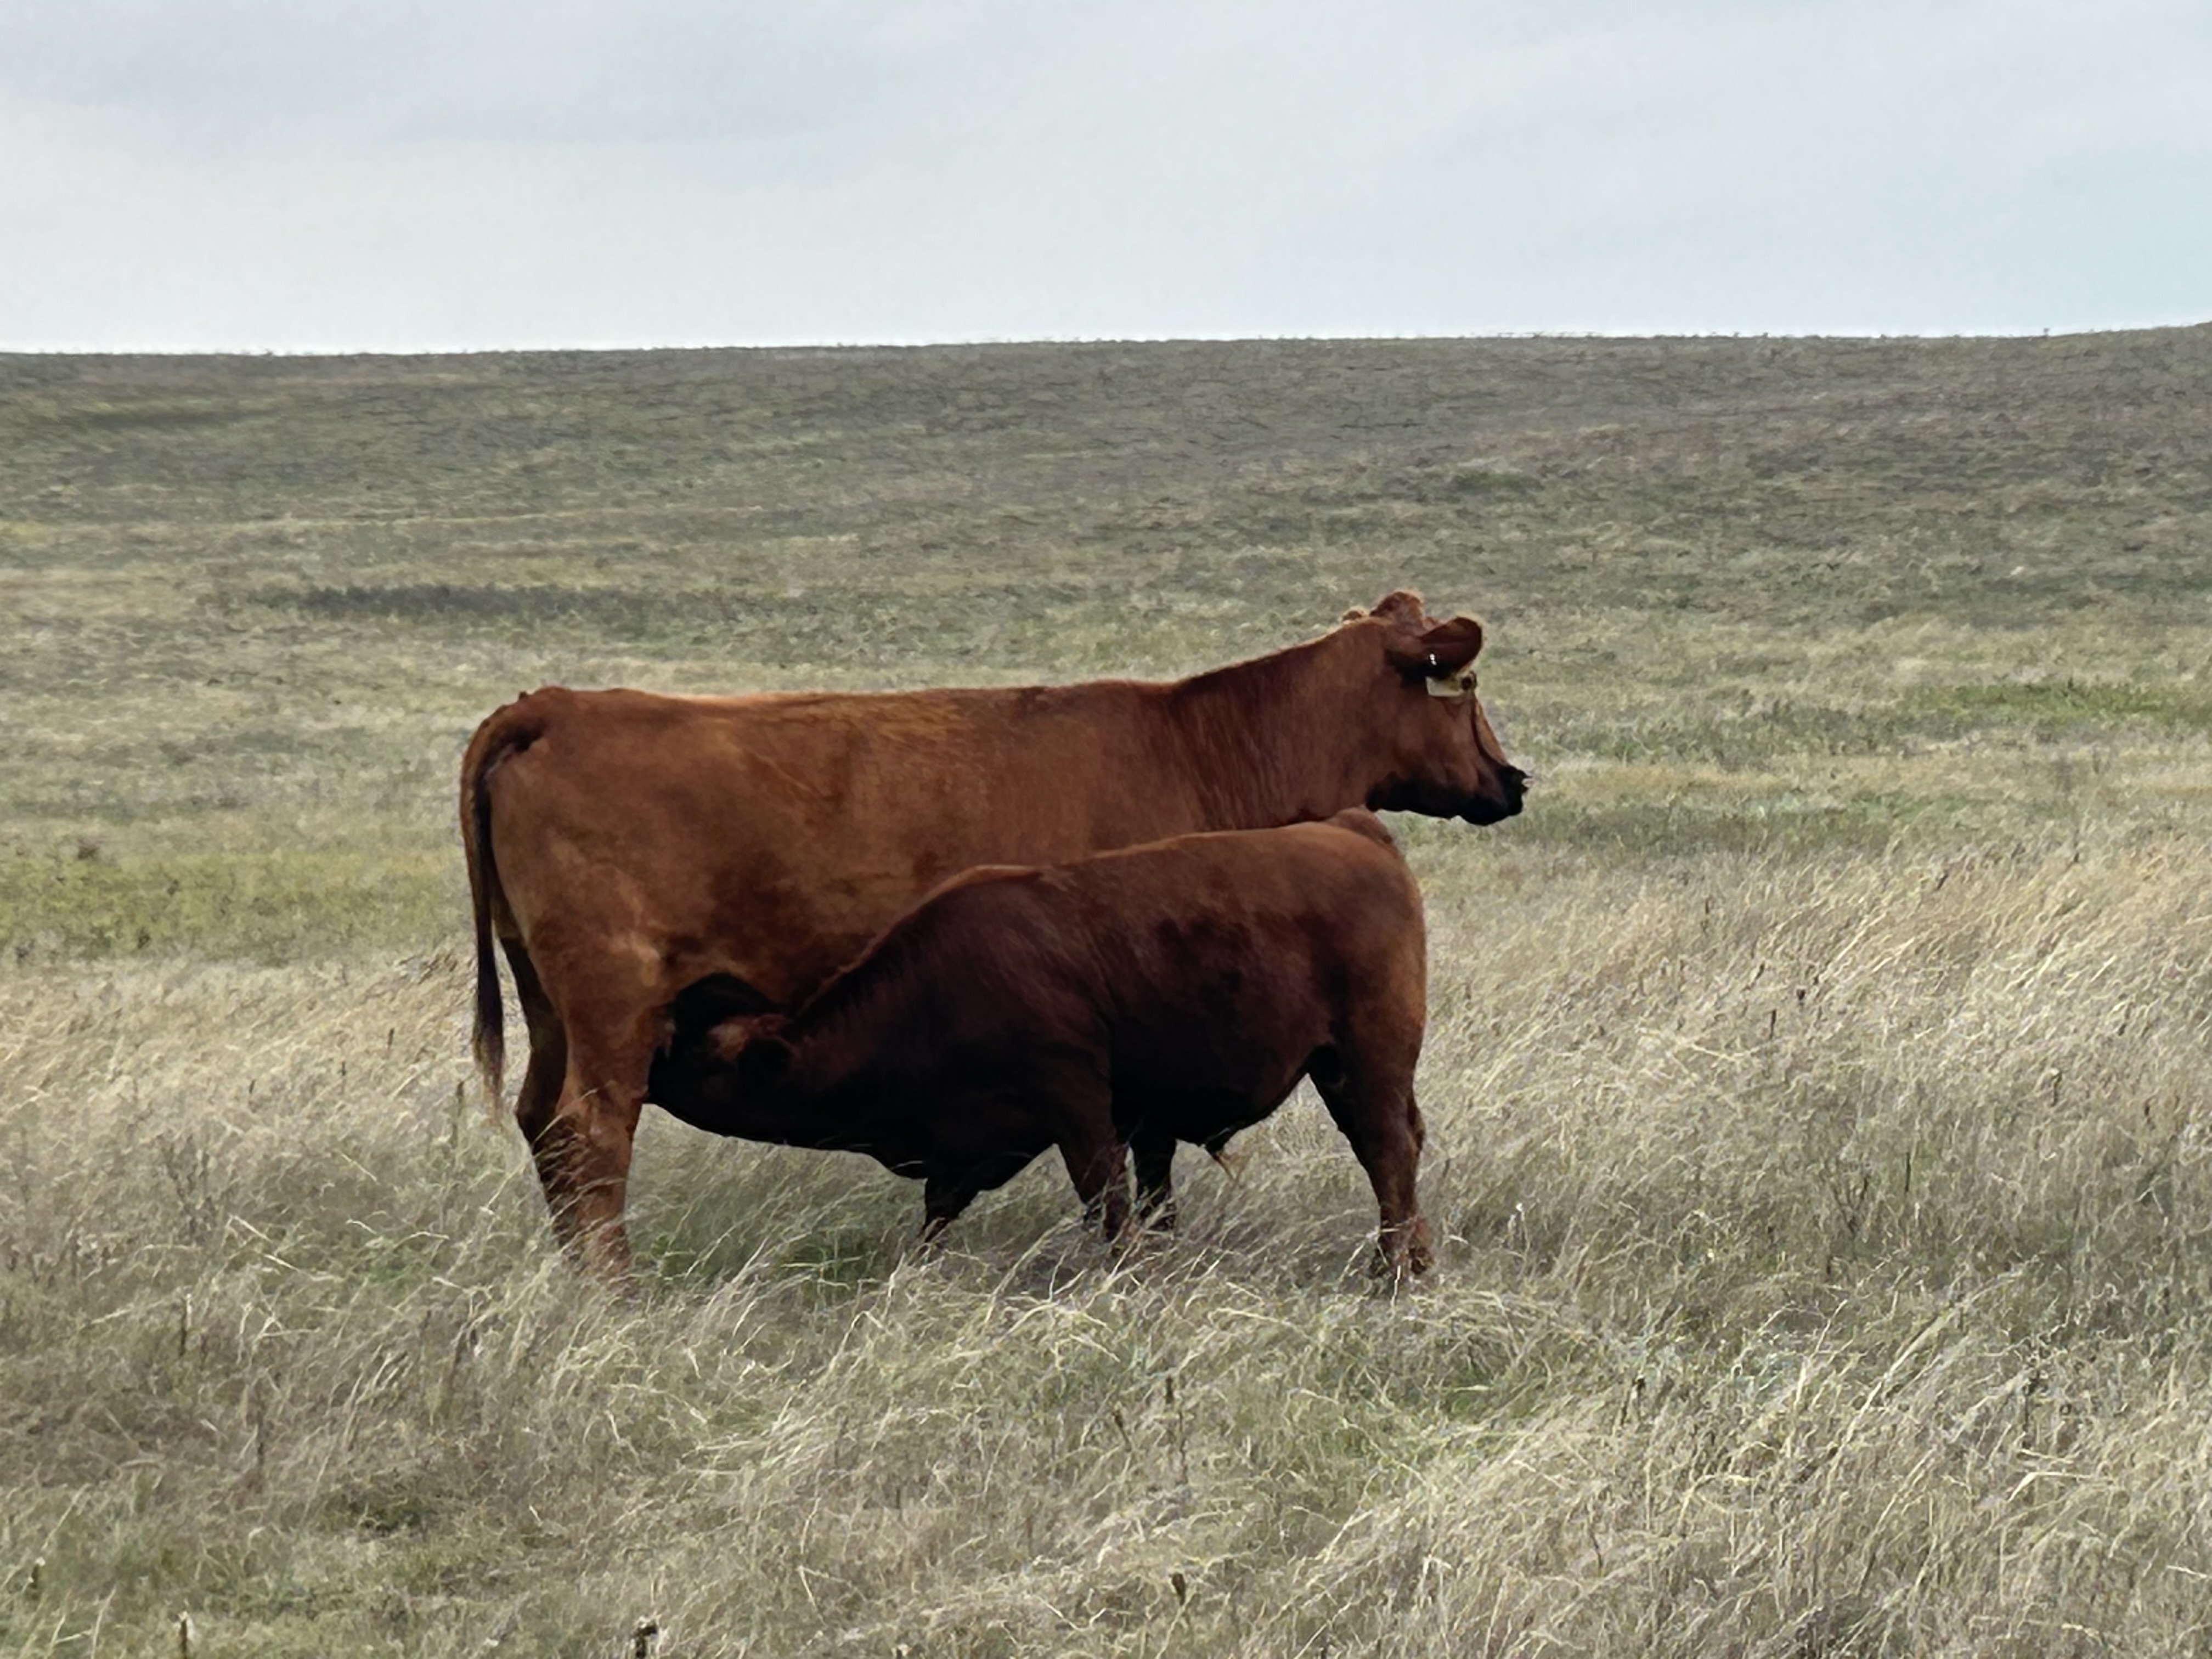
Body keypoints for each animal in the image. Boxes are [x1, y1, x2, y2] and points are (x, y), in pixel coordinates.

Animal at [648, 810, 1434, 1275]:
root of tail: (1352, 830)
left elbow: (1104, 1200)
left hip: (1368, 1060)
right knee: (1394, 1150)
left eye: (699, 1052)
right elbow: (939, 1210)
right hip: (1341, 1071)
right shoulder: (971, 1145)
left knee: (1387, 1151)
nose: (650, 1059)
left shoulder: (1077, 1104)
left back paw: (1391, 1272)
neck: (933, 986)